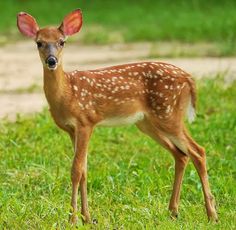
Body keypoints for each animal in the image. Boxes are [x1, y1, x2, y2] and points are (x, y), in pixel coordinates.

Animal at [17, 9, 219, 225]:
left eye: (62, 41)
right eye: (39, 43)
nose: (52, 61)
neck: (67, 93)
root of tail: (189, 78)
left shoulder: (86, 121)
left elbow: (76, 170)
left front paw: (72, 220)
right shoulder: (72, 129)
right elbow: (84, 171)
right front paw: (87, 218)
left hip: (168, 113)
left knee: (198, 151)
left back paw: (212, 214)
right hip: (147, 122)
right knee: (181, 154)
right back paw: (173, 212)